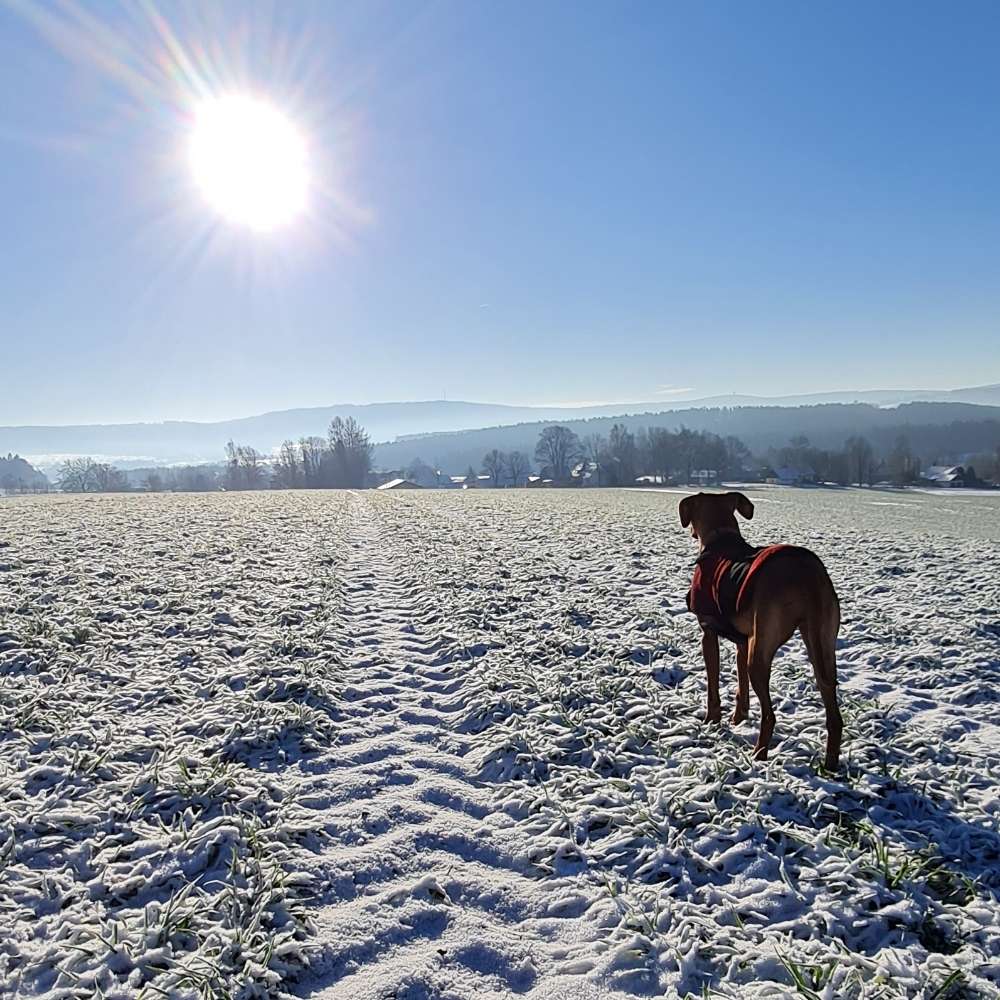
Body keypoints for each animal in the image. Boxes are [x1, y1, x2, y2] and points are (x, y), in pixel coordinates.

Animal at [680, 492, 844, 772]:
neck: (719, 539)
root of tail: (806, 571)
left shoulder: (708, 633)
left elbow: (713, 685)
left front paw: (712, 720)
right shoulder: (743, 641)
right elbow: (741, 685)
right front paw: (739, 718)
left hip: (760, 652)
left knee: (770, 714)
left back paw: (758, 755)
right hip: (822, 643)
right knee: (833, 711)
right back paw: (830, 764)